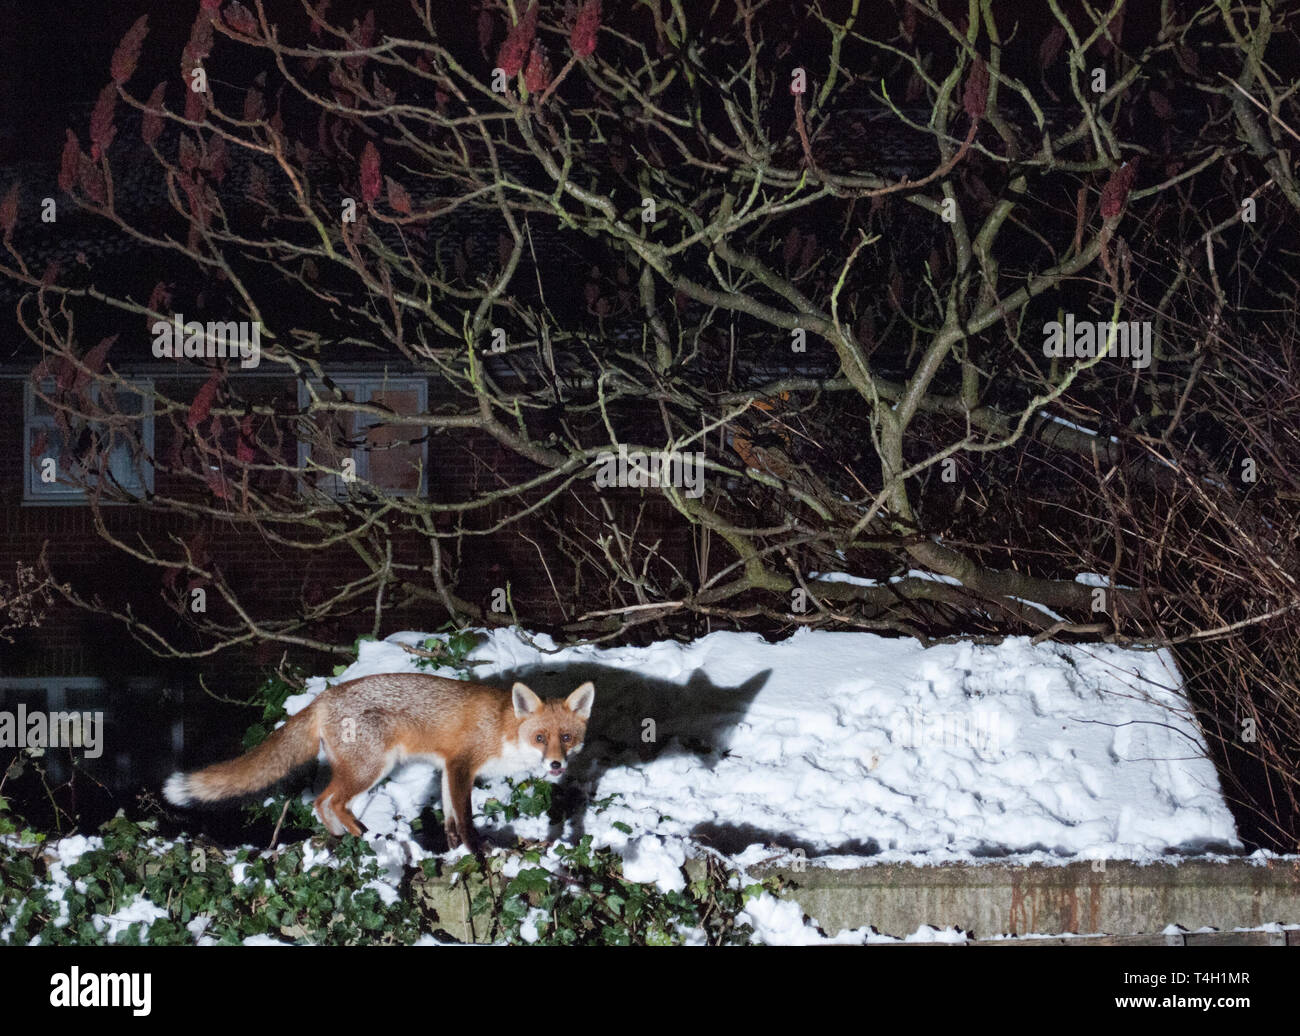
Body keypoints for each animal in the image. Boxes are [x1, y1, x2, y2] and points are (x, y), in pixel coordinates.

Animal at [159, 670, 595, 847]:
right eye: (540, 738)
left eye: (566, 739)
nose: (556, 765)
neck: (503, 728)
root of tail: (323, 697)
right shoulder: (461, 765)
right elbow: (466, 817)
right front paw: (478, 851)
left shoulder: (445, 769)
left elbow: (450, 818)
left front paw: (454, 847)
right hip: (371, 769)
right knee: (329, 800)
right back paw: (362, 835)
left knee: (322, 803)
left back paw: (339, 838)